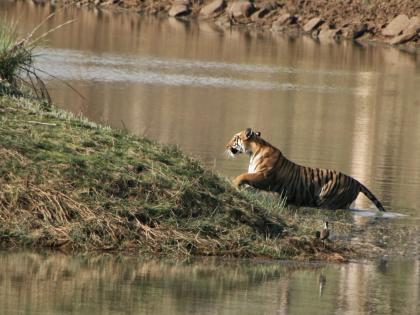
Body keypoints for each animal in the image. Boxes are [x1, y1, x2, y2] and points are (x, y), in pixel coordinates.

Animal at [226, 128, 388, 212]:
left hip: (329, 201)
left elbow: (243, 175)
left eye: (235, 138)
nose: (226, 146)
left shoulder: (264, 176)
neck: (253, 152)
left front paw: (234, 183)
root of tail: (356, 181)